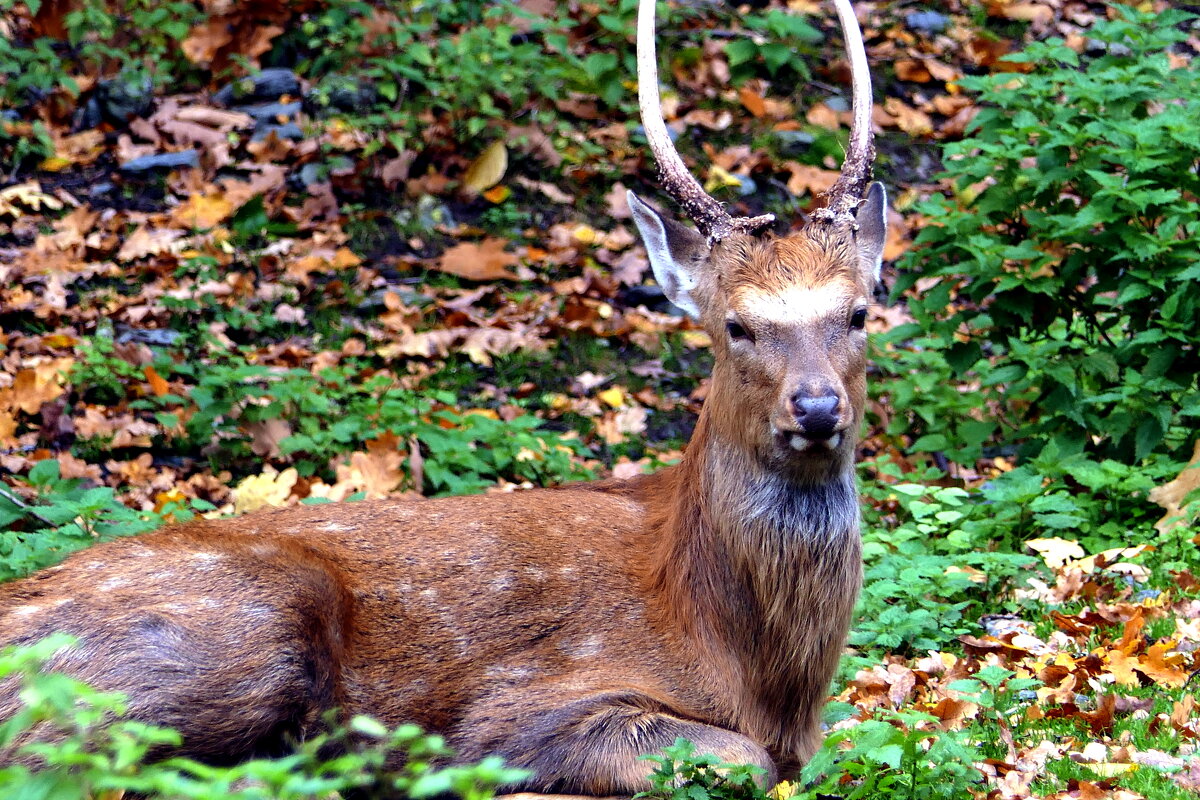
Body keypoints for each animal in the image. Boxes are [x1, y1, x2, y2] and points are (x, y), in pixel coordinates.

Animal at [0, 0, 883, 796]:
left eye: (859, 312)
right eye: (736, 324)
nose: (815, 408)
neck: (750, 667)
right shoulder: (523, 703)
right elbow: (737, 760)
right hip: (234, 629)